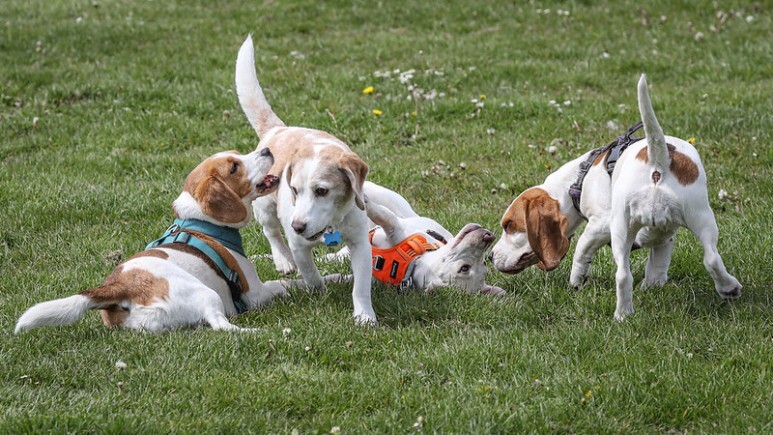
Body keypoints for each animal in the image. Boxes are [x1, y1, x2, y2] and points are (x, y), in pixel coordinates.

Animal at [15, 148, 292, 336]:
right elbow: (284, 284)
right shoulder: (254, 292)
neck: (202, 223)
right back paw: (265, 333)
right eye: (234, 167)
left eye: (237, 154)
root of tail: (119, 286)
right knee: (221, 325)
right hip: (207, 293)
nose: (267, 150)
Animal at [235, 36, 380, 324]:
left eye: (322, 191)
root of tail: (278, 129)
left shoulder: (360, 242)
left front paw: (364, 317)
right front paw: (320, 291)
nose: (298, 225)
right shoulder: (299, 246)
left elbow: (360, 286)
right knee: (271, 232)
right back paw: (283, 261)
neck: (331, 224)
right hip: (264, 206)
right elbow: (311, 275)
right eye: (293, 189)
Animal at [328, 182, 506, 298]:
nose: (488, 237)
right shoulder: (397, 227)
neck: (411, 265)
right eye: (485, 263)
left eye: (464, 268)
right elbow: (383, 215)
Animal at [492, 74, 740, 320]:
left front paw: (577, 279)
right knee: (708, 259)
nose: (490, 256)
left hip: (640, 222)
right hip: (696, 217)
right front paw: (652, 283)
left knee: (630, 273)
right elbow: (657, 259)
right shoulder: (660, 231)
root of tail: (658, 159)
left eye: (510, 226)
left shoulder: (602, 222)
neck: (577, 180)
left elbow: (581, 248)